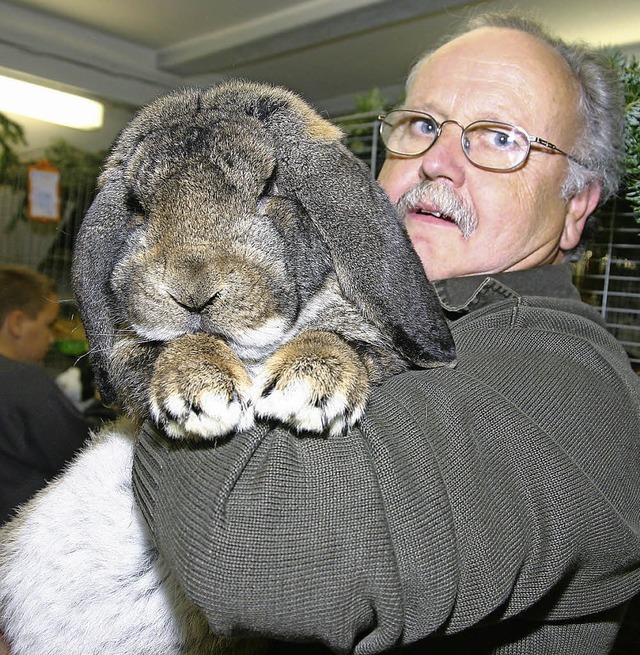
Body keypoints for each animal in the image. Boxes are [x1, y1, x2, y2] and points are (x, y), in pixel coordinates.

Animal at [72, 79, 458, 444]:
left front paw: (305, 389)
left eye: (269, 188)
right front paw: (203, 393)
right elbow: (176, 345)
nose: (192, 292)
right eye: (137, 207)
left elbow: (335, 336)